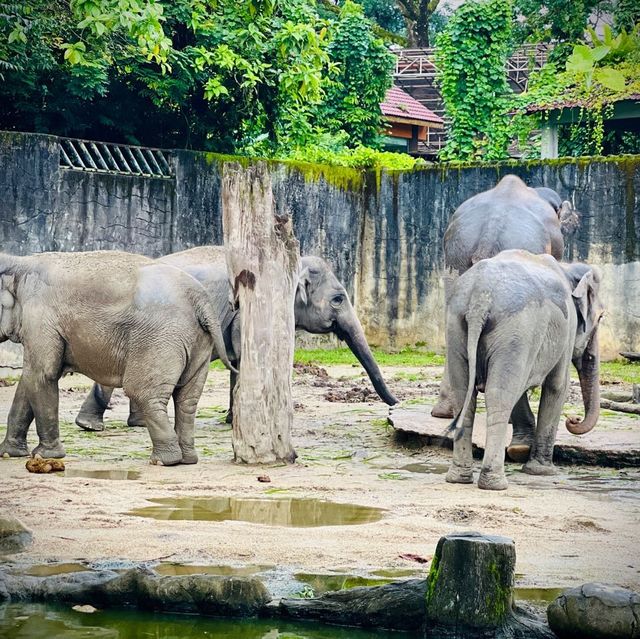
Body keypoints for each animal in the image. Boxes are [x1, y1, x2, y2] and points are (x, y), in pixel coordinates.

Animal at [0, 250, 234, 464]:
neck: (20, 263)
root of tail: (201, 300)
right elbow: (29, 379)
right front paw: (9, 453)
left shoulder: (40, 316)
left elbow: (42, 374)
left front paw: (44, 456)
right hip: (197, 341)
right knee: (187, 398)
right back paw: (187, 459)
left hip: (161, 338)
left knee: (144, 392)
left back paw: (164, 460)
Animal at [74, 248, 396, 432]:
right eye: (338, 299)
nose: (396, 405)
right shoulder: (248, 311)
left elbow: (239, 362)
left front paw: (232, 421)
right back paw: (93, 427)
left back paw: (125, 424)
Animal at [442, 250, 604, 490]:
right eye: (601, 317)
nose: (573, 420)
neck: (567, 267)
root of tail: (481, 295)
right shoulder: (568, 326)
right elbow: (558, 386)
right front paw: (542, 471)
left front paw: (520, 452)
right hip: (516, 330)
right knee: (498, 396)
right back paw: (495, 483)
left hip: (456, 326)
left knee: (464, 395)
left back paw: (459, 478)